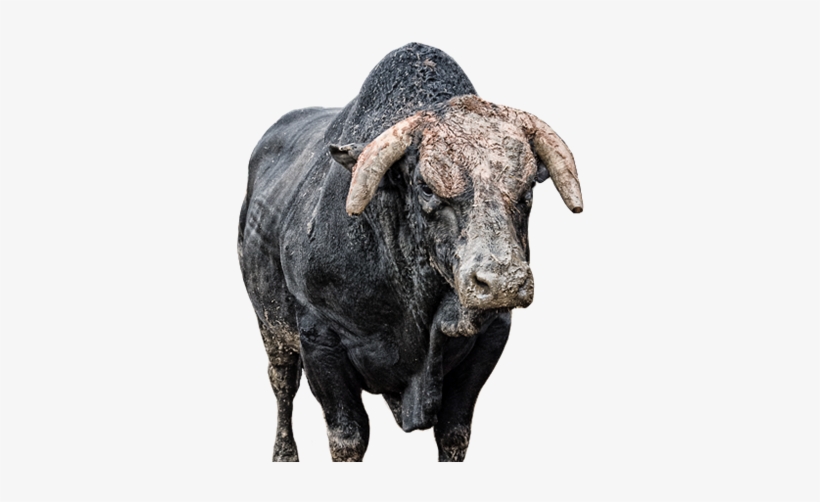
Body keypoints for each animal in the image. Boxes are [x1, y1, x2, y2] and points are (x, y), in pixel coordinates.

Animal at [238, 43, 582, 462]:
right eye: (426, 187)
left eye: (528, 186)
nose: (501, 282)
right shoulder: (319, 337)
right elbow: (348, 436)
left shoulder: (492, 335)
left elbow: (453, 433)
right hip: (269, 325)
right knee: (282, 383)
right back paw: (284, 453)